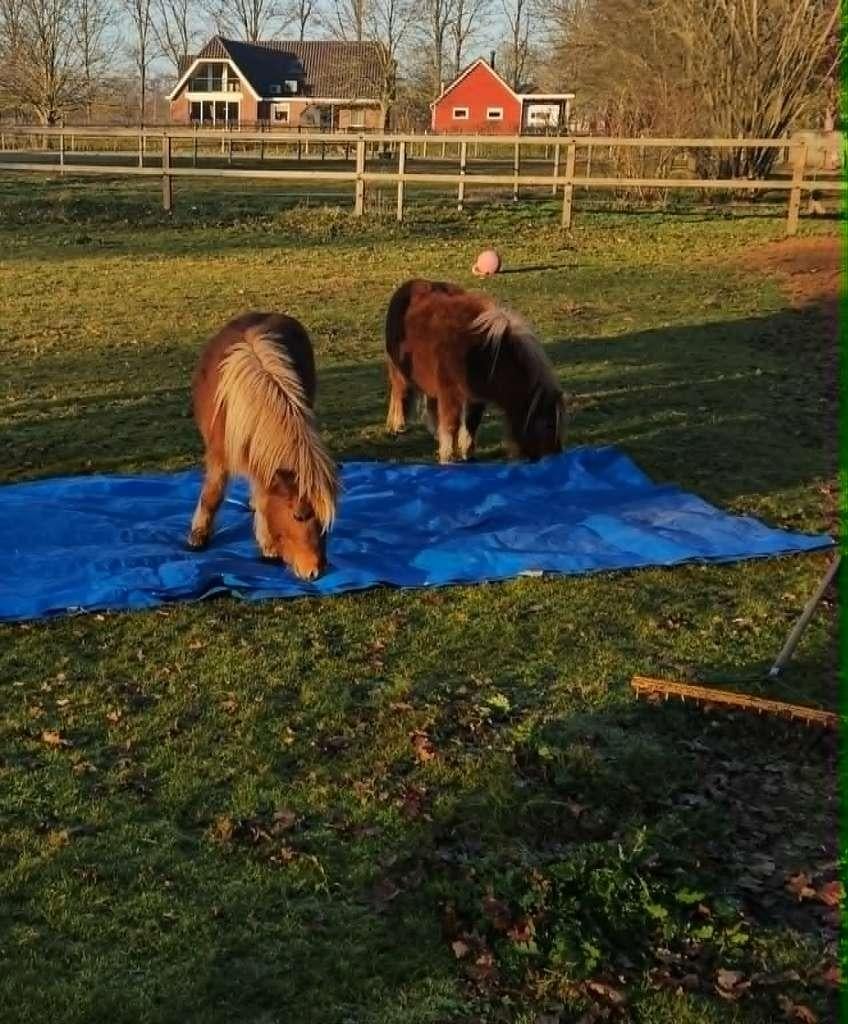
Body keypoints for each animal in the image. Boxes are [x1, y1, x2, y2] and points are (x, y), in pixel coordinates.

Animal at [188, 312, 338, 581]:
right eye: (298, 516)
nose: (315, 571)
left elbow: (263, 498)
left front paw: (267, 545)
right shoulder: (218, 456)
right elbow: (212, 495)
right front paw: (198, 536)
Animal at [384, 279, 566, 463]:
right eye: (548, 425)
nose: (557, 458)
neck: (482, 352)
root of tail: (410, 284)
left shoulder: (476, 398)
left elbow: (471, 423)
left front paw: (467, 453)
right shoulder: (450, 394)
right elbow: (451, 426)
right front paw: (448, 458)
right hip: (399, 370)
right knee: (399, 393)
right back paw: (397, 426)